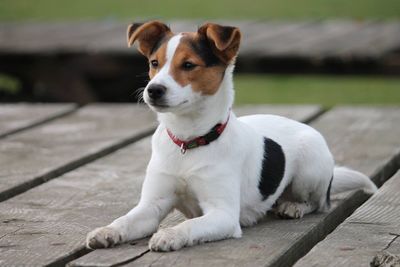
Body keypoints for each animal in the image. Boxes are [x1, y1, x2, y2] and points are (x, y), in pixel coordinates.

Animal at [85, 21, 378, 253]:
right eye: (154, 63)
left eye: (188, 65)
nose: (153, 90)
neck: (189, 141)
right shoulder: (151, 206)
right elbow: (126, 220)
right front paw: (106, 231)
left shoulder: (223, 214)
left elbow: (190, 224)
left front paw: (169, 235)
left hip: (311, 168)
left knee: (320, 203)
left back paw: (294, 207)